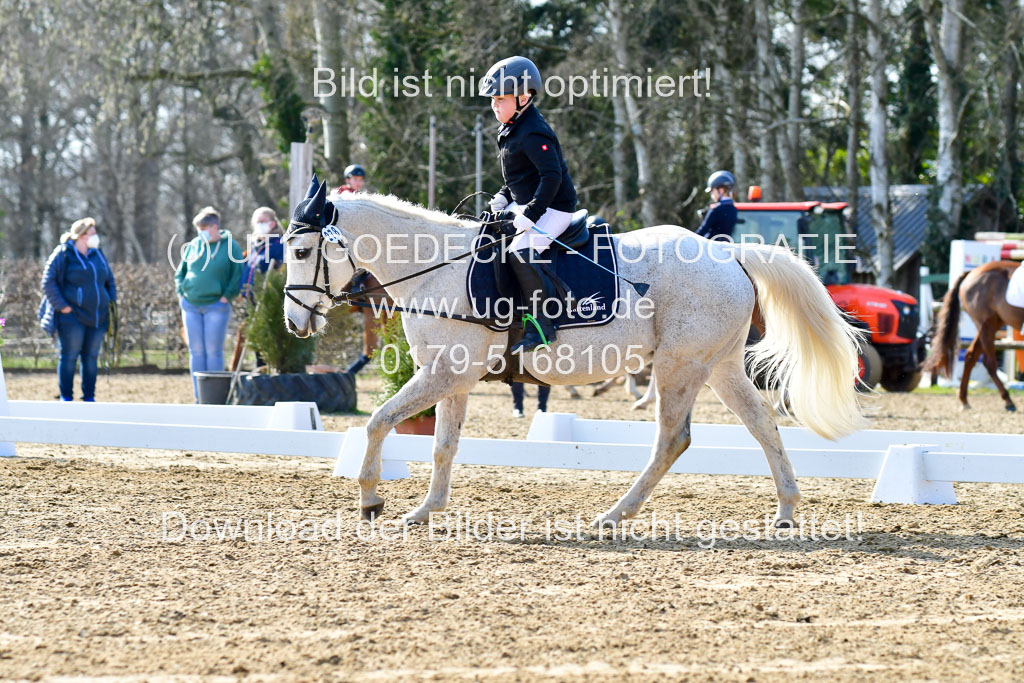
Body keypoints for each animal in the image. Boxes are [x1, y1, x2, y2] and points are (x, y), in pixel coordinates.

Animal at [284, 187, 868, 528]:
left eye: (301, 250)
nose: (294, 322)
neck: (435, 266)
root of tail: (730, 254)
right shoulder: (453, 378)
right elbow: (443, 446)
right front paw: (425, 511)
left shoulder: (444, 372)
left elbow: (379, 421)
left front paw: (370, 499)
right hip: (719, 367)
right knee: (764, 425)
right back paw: (786, 511)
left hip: (678, 367)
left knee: (672, 440)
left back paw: (614, 515)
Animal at [921, 260, 1024, 411]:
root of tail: (973, 272)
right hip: (986, 324)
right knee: (989, 362)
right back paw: (1008, 401)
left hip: (992, 323)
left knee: (971, 356)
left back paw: (964, 399)